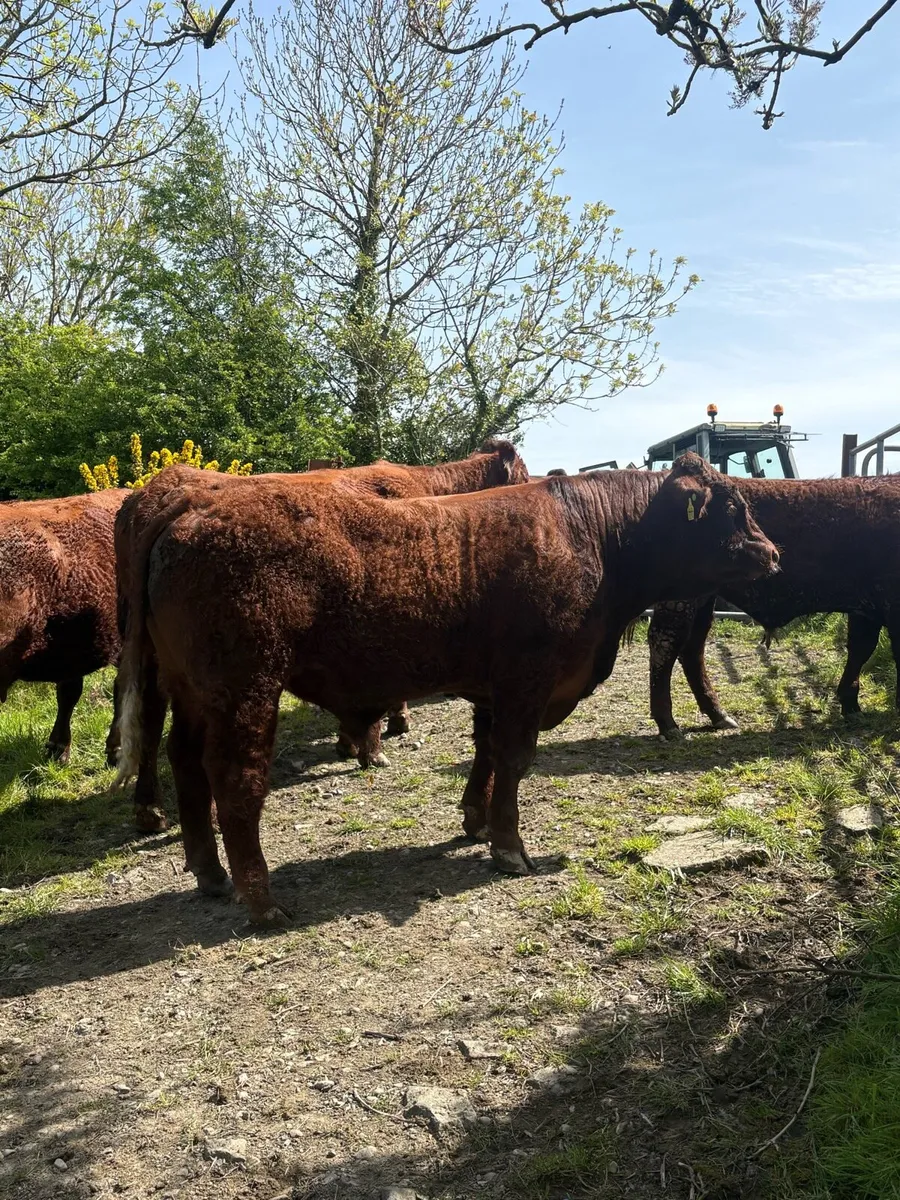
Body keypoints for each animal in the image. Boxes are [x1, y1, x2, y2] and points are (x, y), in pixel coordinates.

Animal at [115, 441, 530, 831]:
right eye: (525, 476)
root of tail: (164, 495)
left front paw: (352, 741)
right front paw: (376, 742)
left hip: (152, 655)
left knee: (150, 721)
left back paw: (149, 810)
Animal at [647, 475, 900, 738]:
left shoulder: (867, 608)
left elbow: (861, 648)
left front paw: (851, 705)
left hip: (703, 598)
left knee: (692, 648)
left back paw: (719, 715)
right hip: (680, 599)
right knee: (665, 643)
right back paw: (668, 724)